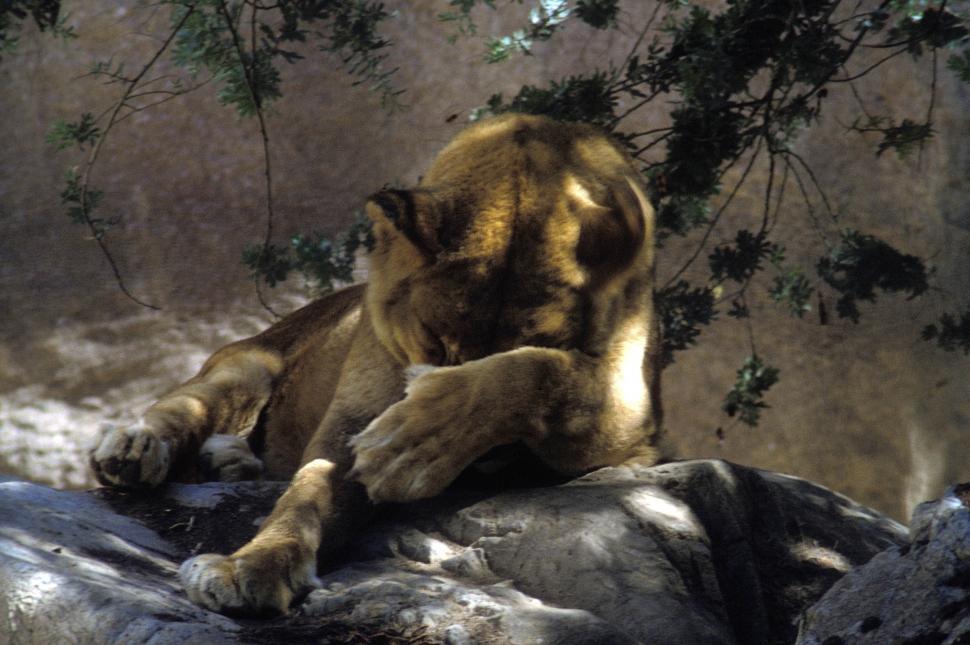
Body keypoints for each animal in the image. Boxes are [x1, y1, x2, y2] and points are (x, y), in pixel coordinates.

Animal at [89, 113, 664, 616]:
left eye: (540, 338)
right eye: (434, 339)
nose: (482, 461)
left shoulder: (631, 423)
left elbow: (541, 373)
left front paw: (410, 447)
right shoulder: (352, 418)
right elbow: (307, 496)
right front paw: (250, 566)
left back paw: (229, 460)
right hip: (245, 368)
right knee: (183, 407)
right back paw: (136, 448)